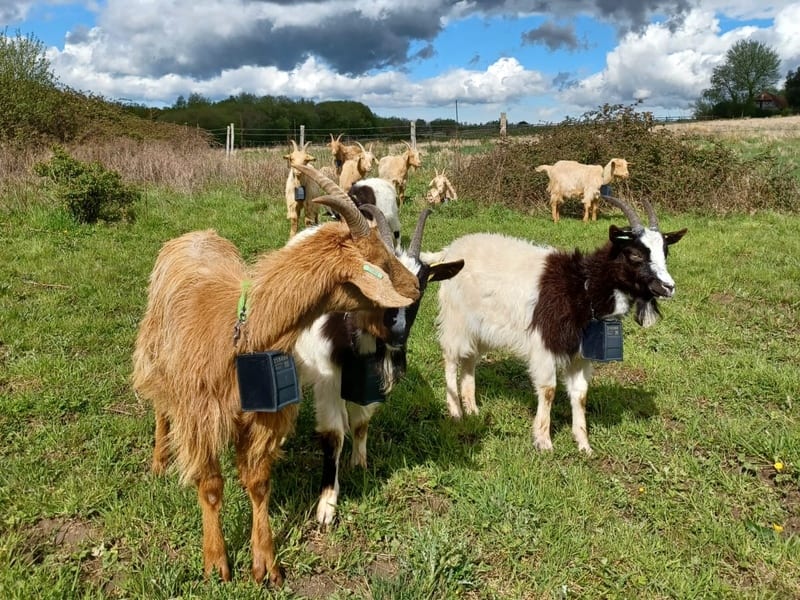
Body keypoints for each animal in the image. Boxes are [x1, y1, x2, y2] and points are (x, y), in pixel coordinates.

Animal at [132, 164, 420, 586]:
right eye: (380, 262)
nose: (414, 287)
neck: (238, 331)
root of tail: (197, 233)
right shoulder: (201, 414)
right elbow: (211, 486)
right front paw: (215, 561)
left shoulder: (263, 417)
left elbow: (258, 483)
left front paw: (265, 562)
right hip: (156, 354)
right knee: (160, 407)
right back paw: (158, 461)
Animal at [293, 208, 464, 525]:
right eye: (380, 275)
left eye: (423, 285)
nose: (397, 334)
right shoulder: (328, 379)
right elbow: (333, 435)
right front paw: (327, 505)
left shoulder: (367, 379)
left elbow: (361, 422)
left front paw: (359, 463)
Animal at [423, 196, 686, 454]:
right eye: (635, 254)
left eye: (665, 252)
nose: (668, 287)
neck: (582, 287)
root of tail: (449, 251)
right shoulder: (544, 344)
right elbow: (548, 390)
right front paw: (544, 442)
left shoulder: (580, 353)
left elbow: (580, 394)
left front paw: (584, 445)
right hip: (456, 319)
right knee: (451, 358)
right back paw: (456, 413)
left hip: (480, 329)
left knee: (469, 359)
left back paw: (473, 410)